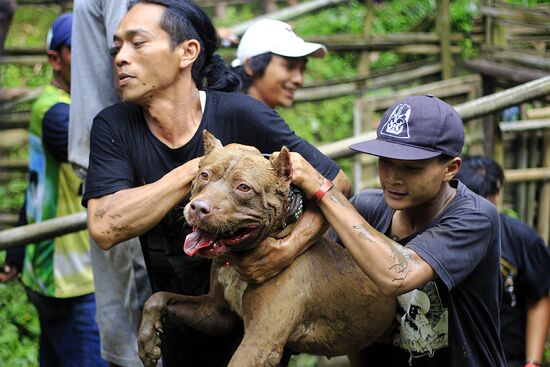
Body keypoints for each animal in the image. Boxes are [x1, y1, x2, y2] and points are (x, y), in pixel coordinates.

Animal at [139, 132, 396, 367]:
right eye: (204, 175)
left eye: (243, 187)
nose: (199, 208)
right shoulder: (216, 313)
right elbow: (158, 297)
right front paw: (148, 341)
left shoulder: (258, 344)